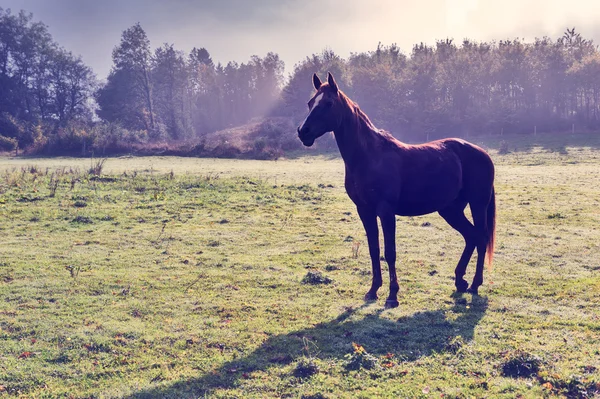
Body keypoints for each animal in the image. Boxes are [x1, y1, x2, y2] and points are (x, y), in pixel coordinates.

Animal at [296, 72, 496, 310]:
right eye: (310, 103)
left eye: (328, 103)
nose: (303, 132)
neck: (369, 156)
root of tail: (483, 153)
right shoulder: (364, 210)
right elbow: (374, 250)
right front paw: (372, 291)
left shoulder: (386, 210)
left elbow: (389, 252)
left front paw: (392, 296)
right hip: (450, 210)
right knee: (471, 236)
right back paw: (460, 281)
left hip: (477, 204)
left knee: (481, 238)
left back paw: (474, 284)